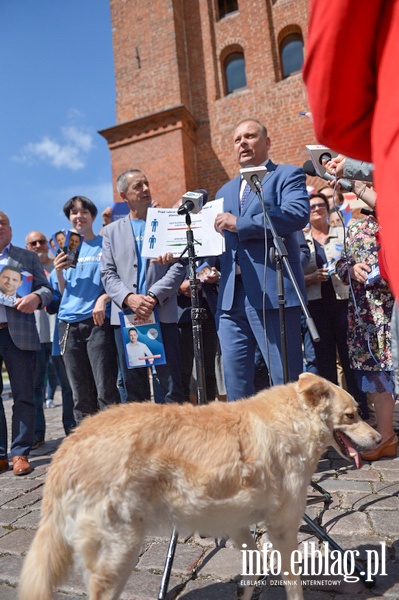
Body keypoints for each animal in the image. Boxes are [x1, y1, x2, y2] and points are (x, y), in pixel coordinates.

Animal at [18, 372, 382, 596]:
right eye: (351, 416)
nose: (380, 439)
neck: (292, 421)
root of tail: (72, 442)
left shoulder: (237, 523)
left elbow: (254, 566)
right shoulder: (283, 525)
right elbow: (293, 584)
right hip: (120, 550)